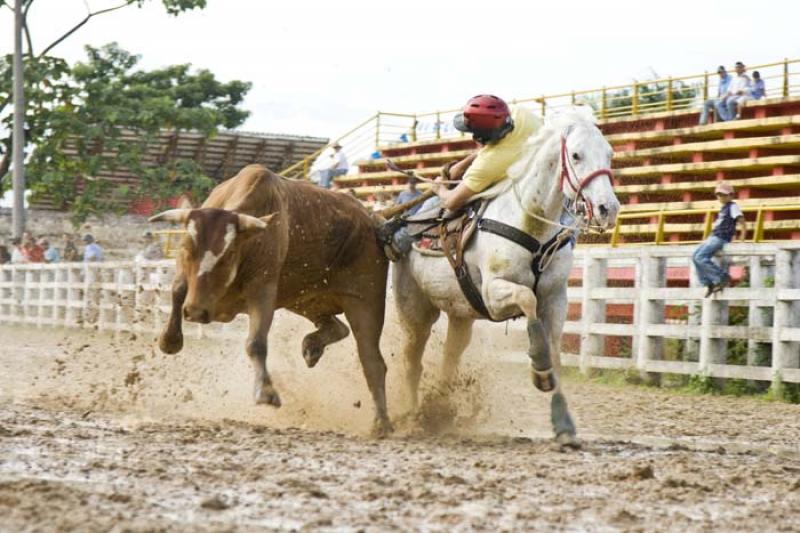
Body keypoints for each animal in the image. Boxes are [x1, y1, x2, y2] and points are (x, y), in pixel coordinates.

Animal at [151, 164, 394, 434]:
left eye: (228, 255)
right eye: (186, 249)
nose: (195, 311)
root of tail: (373, 219)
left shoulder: (263, 291)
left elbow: (256, 342)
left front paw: (266, 392)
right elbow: (177, 290)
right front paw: (169, 340)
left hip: (365, 300)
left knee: (372, 361)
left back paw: (381, 422)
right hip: (303, 299)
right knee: (337, 326)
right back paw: (312, 347)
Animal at [394, 106, 620, 446]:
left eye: (609, 153)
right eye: (576, 155)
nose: (608, 208)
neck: (530, 222)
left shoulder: (556, 298)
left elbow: (555, 351)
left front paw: (563, 422)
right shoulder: (494, 293)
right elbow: (527, 300)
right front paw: (539, 367)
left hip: (461, 314)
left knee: (450, 356)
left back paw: (439, 411)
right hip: (415, 311)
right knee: (411, 360)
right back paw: (411, 416)